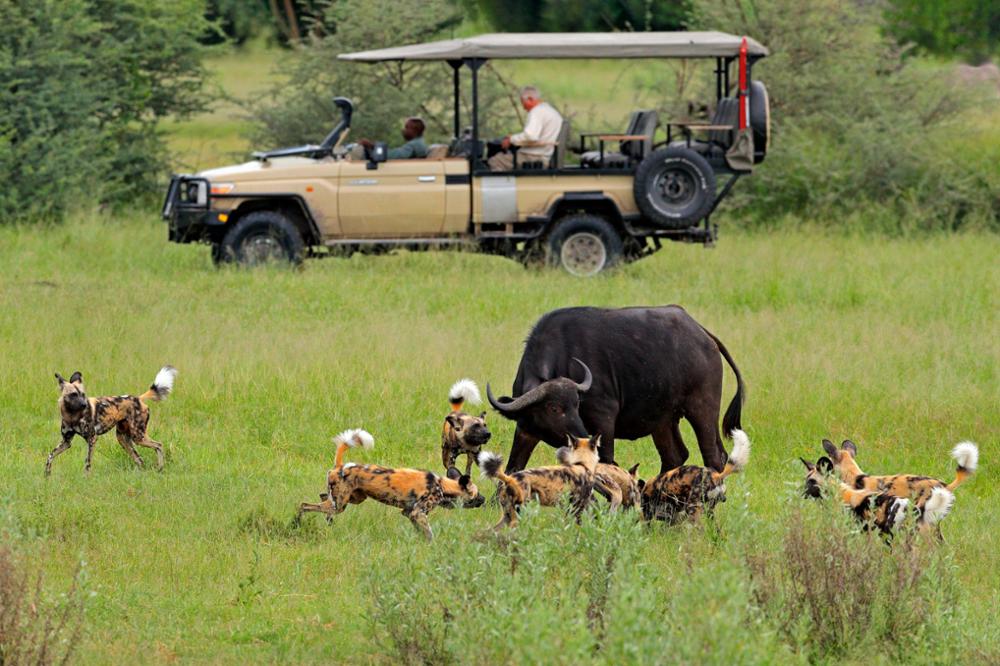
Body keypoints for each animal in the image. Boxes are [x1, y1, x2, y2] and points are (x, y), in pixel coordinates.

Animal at [47, 364, 179, 472]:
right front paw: (47, 475)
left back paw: (160, 468)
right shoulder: (66, 442)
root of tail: (138, 398)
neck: (72, 416)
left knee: (158, 445)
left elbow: (87, 463)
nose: (84, 404)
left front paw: (86, 478)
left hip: (138, 437)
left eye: (83, 395)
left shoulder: (92, 439)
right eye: (73, 394)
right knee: (140, 459)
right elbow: (50, 456)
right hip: (123, 439)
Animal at [296, 426, 480, 540]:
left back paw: (328, 521)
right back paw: (296, 524)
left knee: (322, 498)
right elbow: (429, 534)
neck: (442, 485)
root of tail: (341, 466)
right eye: (476, 494)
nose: (484, 500)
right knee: (304, 505)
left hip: (351, 499)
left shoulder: (409, 513)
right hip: (340, 504)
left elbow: (421, 532)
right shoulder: (418, 513)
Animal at [484, 304, 744, 472]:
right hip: (663, 420)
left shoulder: (604, 421)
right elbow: (512, 467)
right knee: (675, 456)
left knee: (715, 457)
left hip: (703, 411)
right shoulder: (526, 430)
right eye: (554, 408)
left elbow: (606, 464)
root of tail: (703, 335)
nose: (580, 435)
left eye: (577, 404)